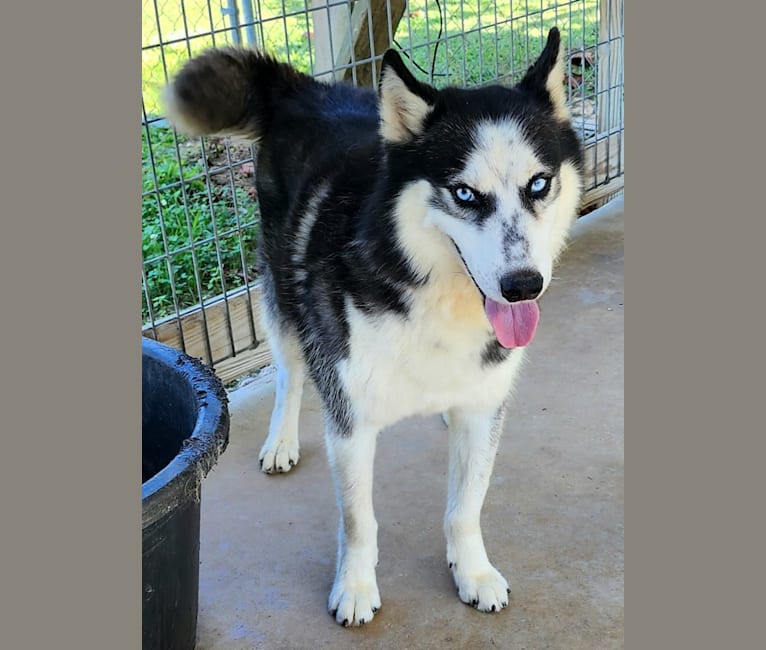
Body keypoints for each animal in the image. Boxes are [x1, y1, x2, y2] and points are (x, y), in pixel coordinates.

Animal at [168, 27, 584, 624]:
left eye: (539, 184)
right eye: (464, 193)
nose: (524, 286)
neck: (431, 296)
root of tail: (307, 89)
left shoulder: (485, 408)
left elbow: (466, 505)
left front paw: (473, 572)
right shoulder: (351, 421)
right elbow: (359, 519)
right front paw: (356, 586)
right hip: (281, 292)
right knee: (290, 372)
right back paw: (281, 439)